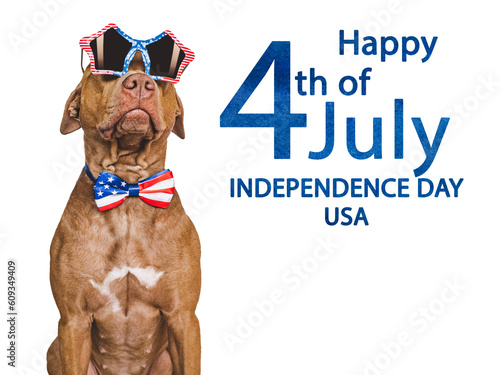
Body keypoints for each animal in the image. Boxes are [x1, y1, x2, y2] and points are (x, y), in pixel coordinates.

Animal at [47, 52, 201, 375]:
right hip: (54, 348)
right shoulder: (73, 321)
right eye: (106, 71)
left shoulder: (184, 318)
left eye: (158, 76)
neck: (128, 190)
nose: (140, 83)